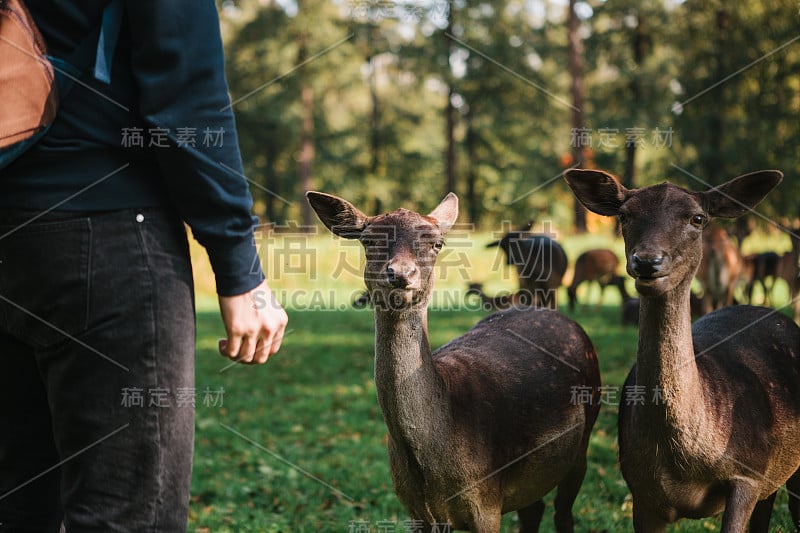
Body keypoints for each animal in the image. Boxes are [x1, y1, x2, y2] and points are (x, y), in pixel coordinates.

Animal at [306, 191, 600, 532]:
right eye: (368, 240)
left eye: (436, 243)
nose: (401, 273)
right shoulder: (413, 509)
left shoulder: (486, 501)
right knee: (533, 508)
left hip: (583, 439)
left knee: (563, 511)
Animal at [564, 169, 800, 532]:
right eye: (624, 215)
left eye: (697, 218)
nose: (648, 261)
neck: (685, 461)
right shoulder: (640, 490)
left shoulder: (748, 473)